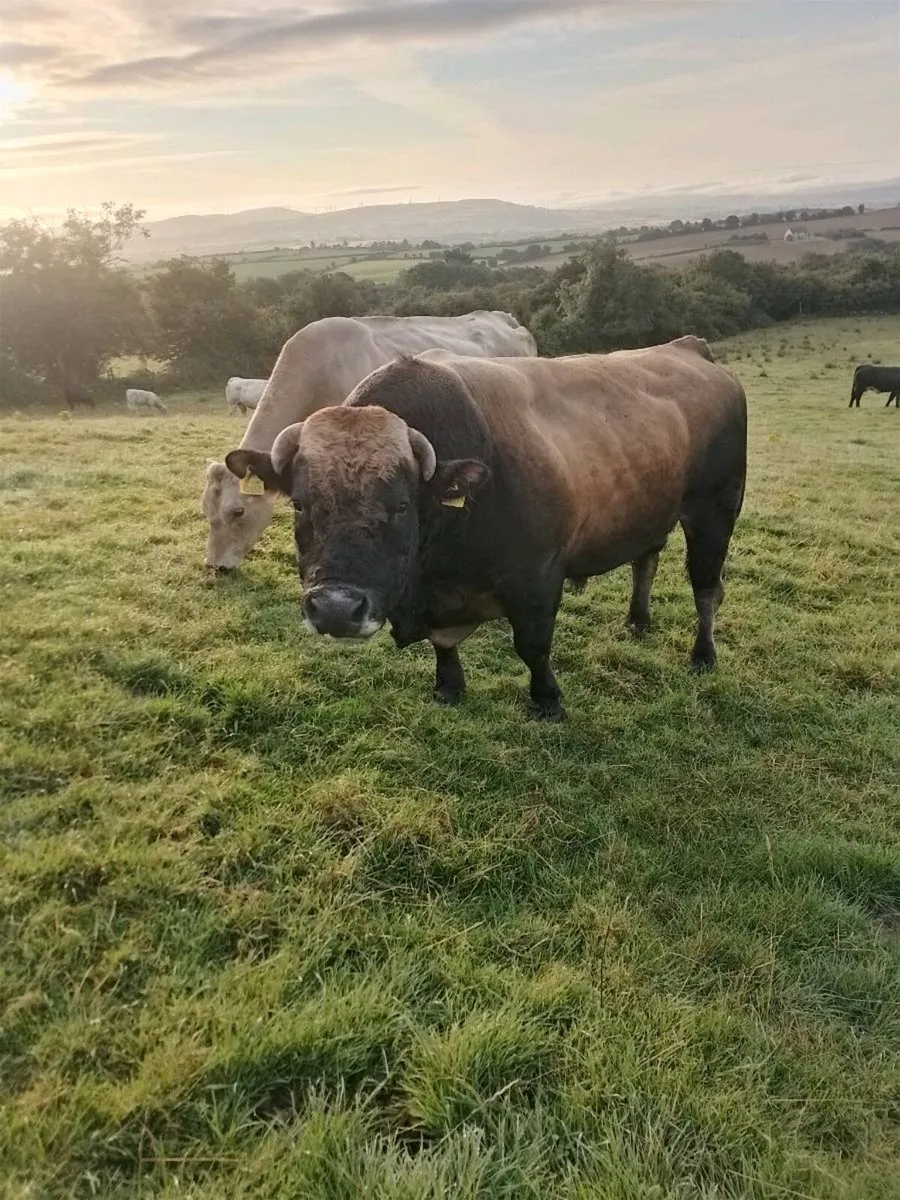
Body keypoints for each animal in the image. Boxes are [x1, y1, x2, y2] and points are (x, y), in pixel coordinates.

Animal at [224, 336, 747, 721]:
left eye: (401, 505)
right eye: (300, 504)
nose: (335, 609)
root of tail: (687, 348)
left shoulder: (537, 576)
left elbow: (532, 645)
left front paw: (547, 700)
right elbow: (443, 644)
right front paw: (448, 685)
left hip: (715, 511)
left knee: (707, 590)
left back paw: (703, 654)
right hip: (651, 509)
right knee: (647, 559)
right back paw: (638, 620)